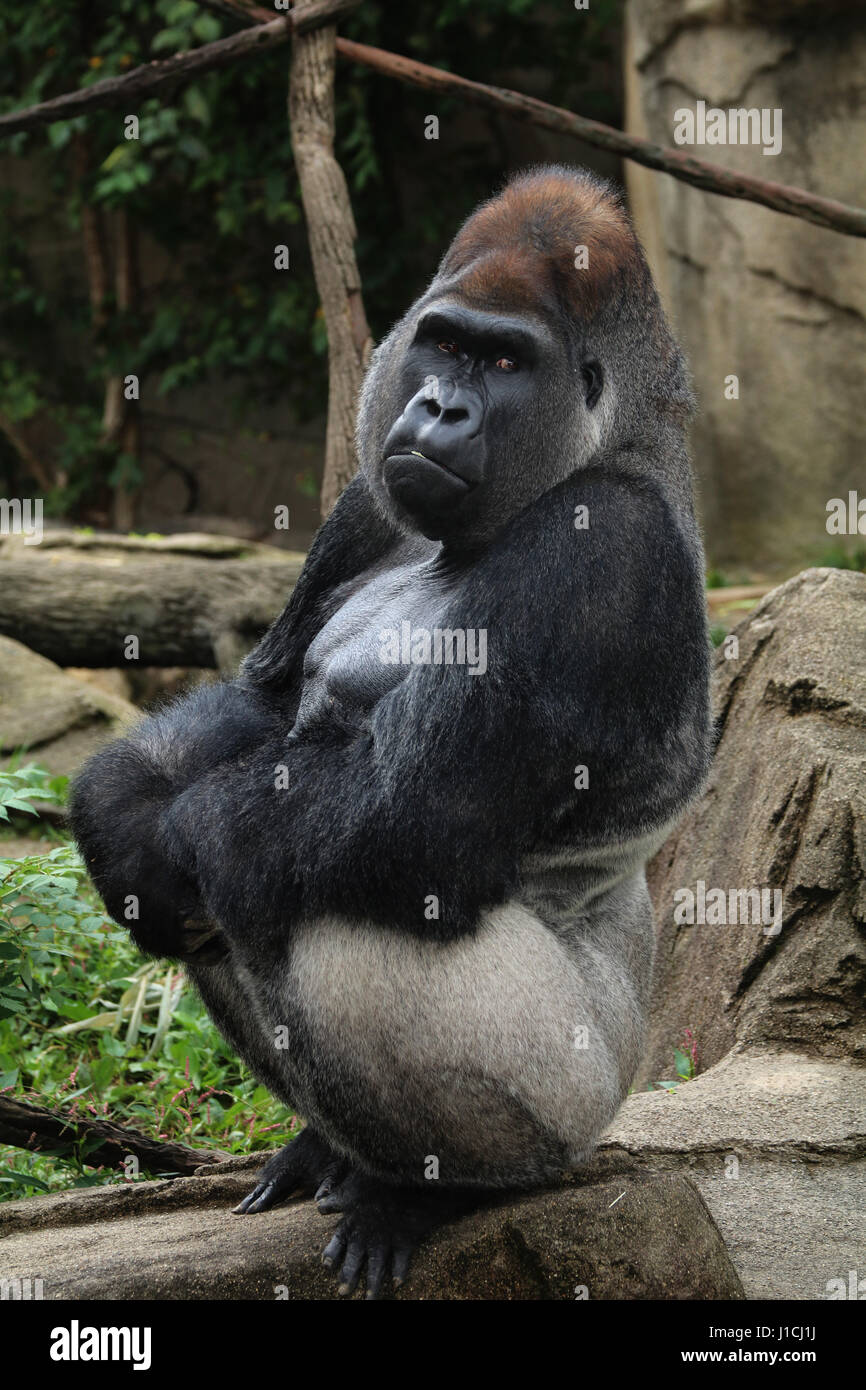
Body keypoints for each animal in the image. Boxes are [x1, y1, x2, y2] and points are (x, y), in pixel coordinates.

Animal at [71, 168, 711, 1295]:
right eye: (444, 343)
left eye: (504, 361)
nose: (441, 405)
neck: (608, 437)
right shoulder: (370, 499)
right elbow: (260, 708)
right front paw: (118, 813)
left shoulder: (604, 547)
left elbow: (414, 820)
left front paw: (162, 833)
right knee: (216, 903)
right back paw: (330, 1153)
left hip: (583, 1096)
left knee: (325, 903)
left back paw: (431, 1191)